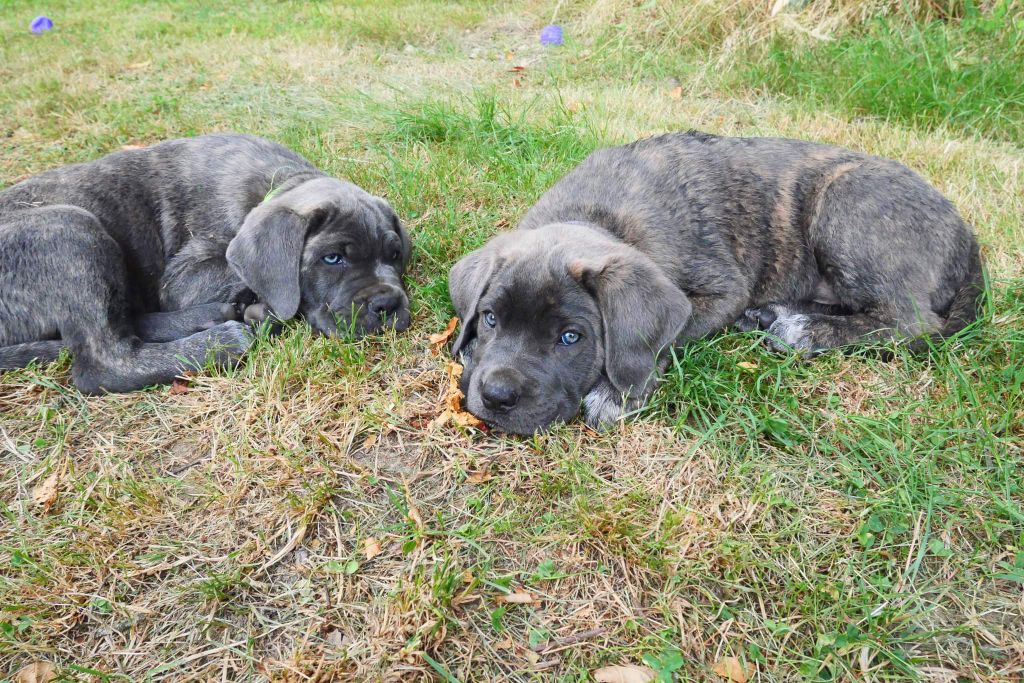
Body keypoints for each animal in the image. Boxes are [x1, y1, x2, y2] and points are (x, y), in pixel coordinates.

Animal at [4, 132, 411, 395]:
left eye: (394, 255)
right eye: (332, 258)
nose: (387, 304)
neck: (277, 182)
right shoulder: (183, 278)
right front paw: (264, 308)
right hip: (69, 227)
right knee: (104, 361)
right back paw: (224, 340)